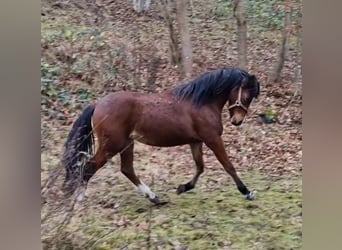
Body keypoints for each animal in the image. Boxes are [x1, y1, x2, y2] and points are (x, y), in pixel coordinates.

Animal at [62, 67, 260, 204]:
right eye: (247, 95)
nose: (237, 121)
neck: (201, 102)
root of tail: (97, 104)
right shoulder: (212, 139)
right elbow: (228, 166)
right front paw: (247, 192)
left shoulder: (196, 142)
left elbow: (200, 167)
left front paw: (183, 188)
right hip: (112, 145)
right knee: (89, 167)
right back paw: (79, 201)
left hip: (126, 144)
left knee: (127, 169)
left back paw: (154, 197)